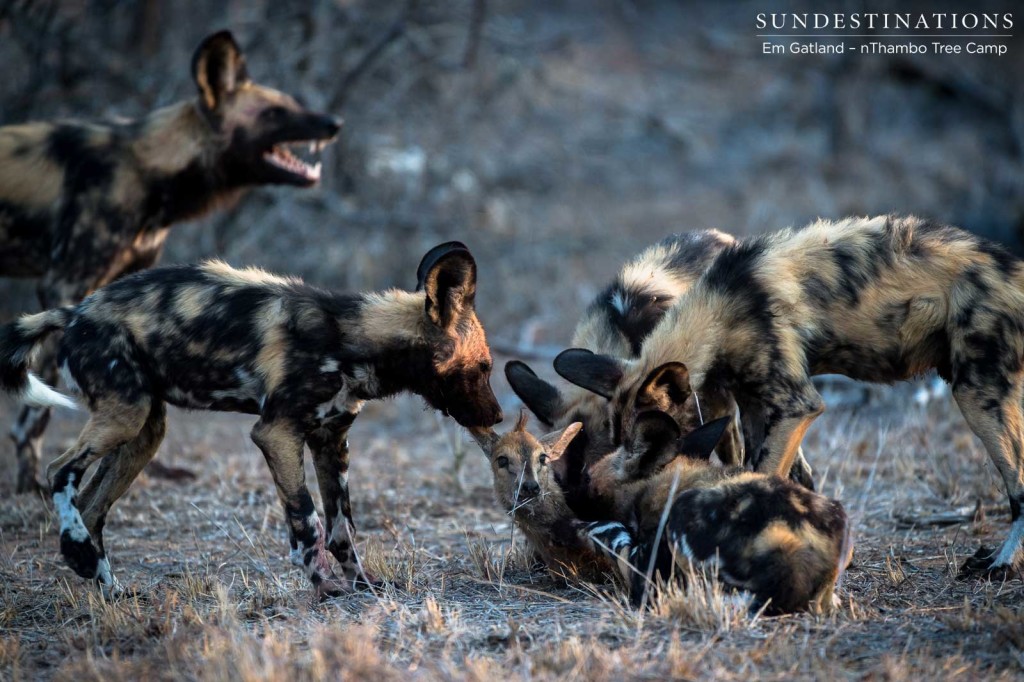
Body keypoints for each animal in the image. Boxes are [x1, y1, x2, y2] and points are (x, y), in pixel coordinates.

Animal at [0, 29, 344, 491]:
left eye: (290, 103)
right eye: (274, 112)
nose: (334, 124)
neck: (146, 166)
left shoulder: (119, 289)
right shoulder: (65, 283)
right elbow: (33, 420)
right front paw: (29, 487)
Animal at [0, 241, 499, 598]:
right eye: (483, 368)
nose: (496, 415)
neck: (353, 340)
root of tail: (75, 311)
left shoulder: (330, 440)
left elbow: (342, 526)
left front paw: (363, 585)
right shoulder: (276, 433)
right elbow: (307, 519)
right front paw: (325, 587)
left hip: (143, 431)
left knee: (92, 507)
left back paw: (103, 585)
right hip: (125, 415)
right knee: (58, 470)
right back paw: (84, 558)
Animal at [557, 215, 1024, 577]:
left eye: (652, 449)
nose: (612, 504)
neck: (720, 310)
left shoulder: (797, 406)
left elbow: (760, 474)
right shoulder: (758, 408)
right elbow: (786, 479)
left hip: (977, 396)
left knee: (1017, 488)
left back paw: (999, 566)